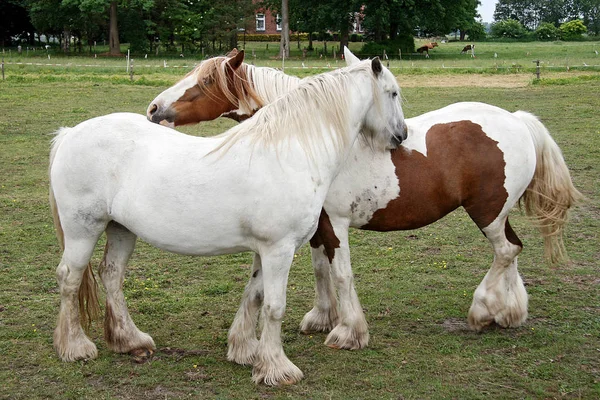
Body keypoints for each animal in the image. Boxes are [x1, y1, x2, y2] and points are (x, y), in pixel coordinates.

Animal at [48, 56, 408, 384]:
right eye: (393, 93)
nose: (401, 135)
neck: (291, 151)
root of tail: (69, 134)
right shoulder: (279, 249)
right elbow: (274, 306)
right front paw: (277, 369)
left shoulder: (267, 250)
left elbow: (257, 297)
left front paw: (249, 354)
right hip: (83, 230)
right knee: (69, 278)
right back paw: (75, 347)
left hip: (121, 230)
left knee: (111, 276)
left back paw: (130, 340)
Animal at [148, 47, 584, 350]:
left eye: (205, 82)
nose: (153, 109)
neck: (316, 136)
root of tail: (516, 120)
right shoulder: (317, 227)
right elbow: (321, 269)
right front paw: (323, 317)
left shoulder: (335, 223)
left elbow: (340, 273)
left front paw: (348, 331)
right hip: (498, 213)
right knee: (512, 250)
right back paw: (509, 312)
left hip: (487, 212)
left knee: (505, 252)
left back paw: (481, 311)